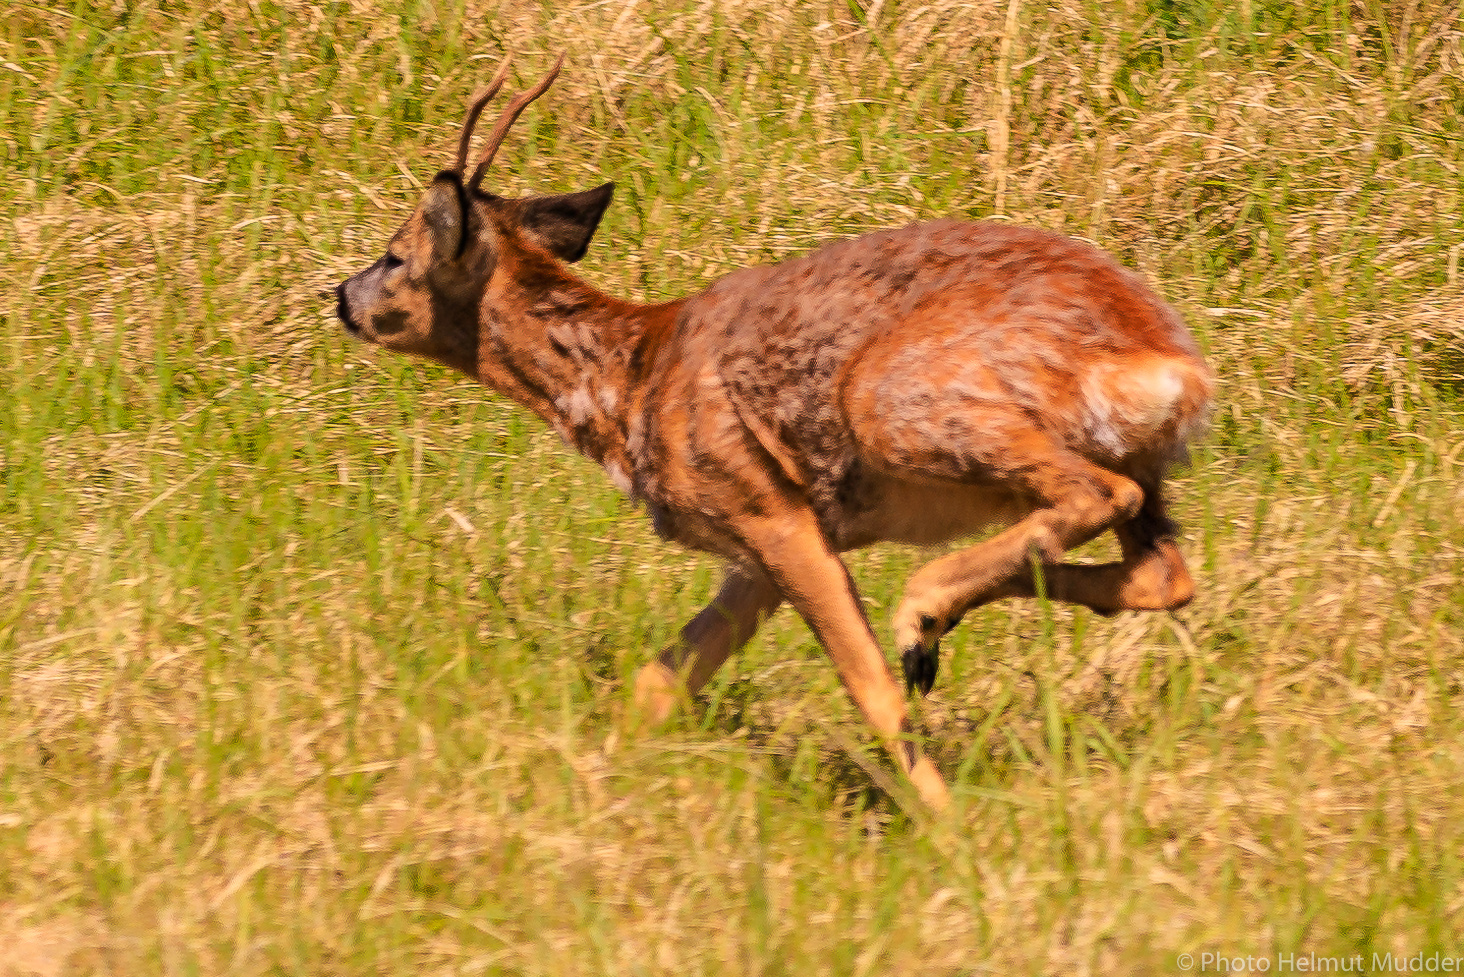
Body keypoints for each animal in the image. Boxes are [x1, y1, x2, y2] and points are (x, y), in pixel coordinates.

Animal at [336, 57, 1218, 814]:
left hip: (900, 404)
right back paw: (942, 620)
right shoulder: (763, 541)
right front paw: (589, 789)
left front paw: (948, 830)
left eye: (396, 255)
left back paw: (923, 612)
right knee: (1164, 572)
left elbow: (871, 689)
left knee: (1096, 497)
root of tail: (1165, 362)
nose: (341, 297)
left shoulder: (767, 510)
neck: (631, 384)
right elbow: (660, 682)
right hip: (1134, 467)